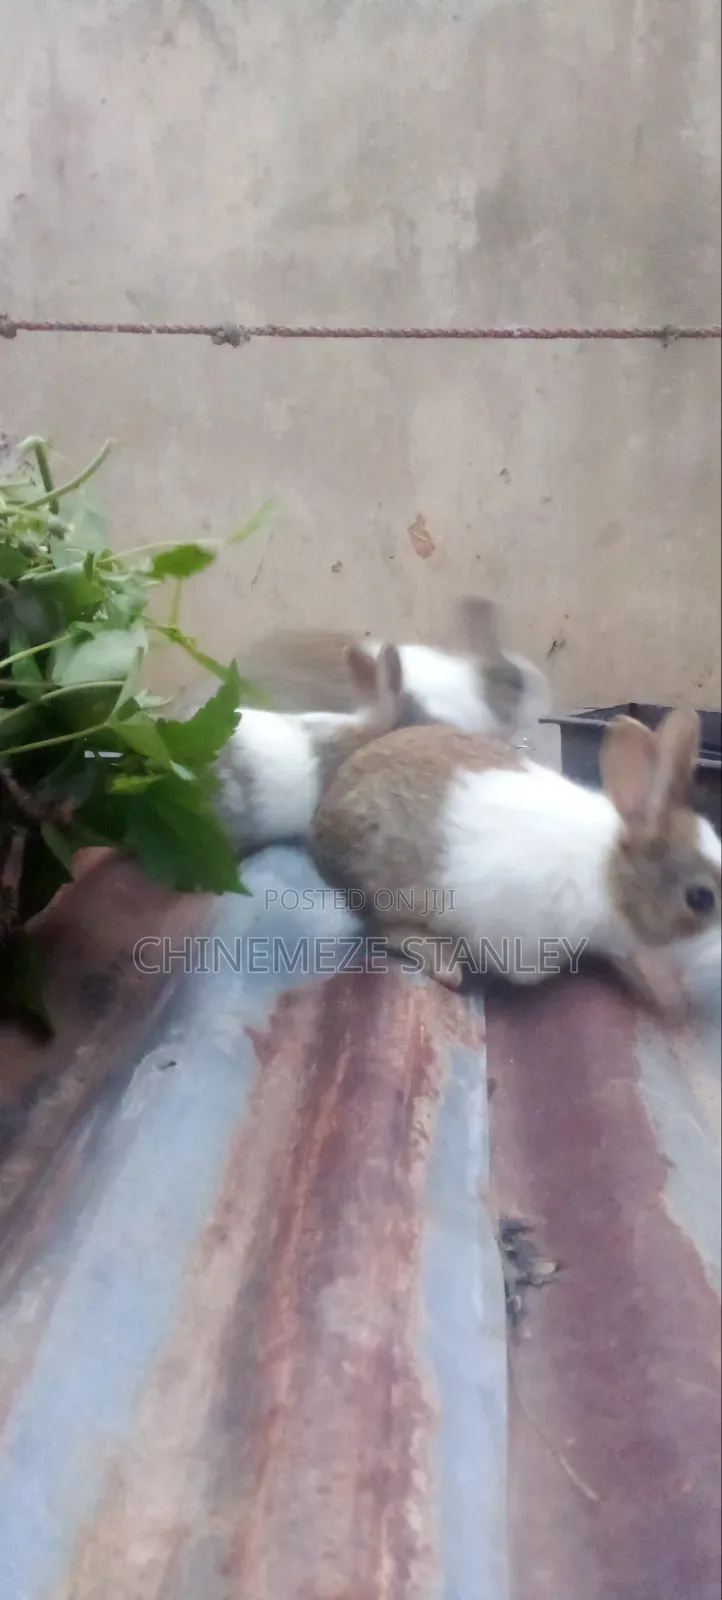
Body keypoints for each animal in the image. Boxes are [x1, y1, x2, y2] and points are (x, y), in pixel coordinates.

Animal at [309, 700, 721, 1009]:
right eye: (700, 898)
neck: (609, 877)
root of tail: (323, 820)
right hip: (393, 886)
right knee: (383, 928)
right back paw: (444, 962)